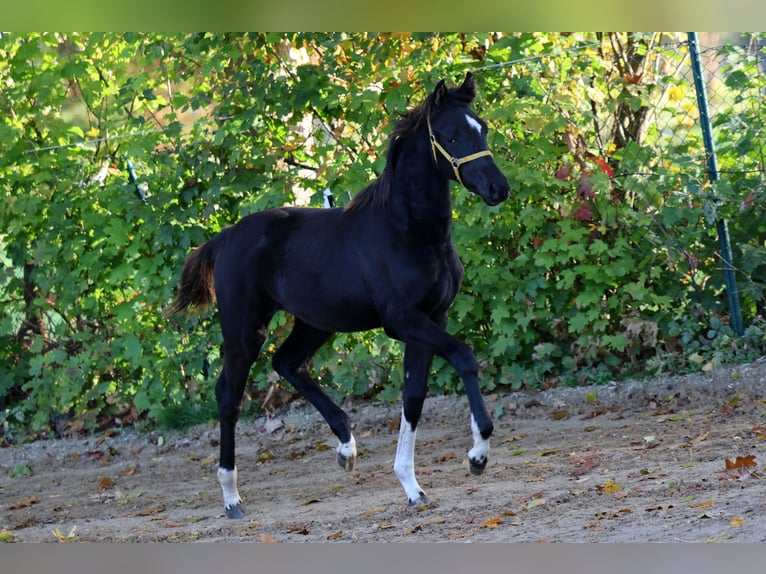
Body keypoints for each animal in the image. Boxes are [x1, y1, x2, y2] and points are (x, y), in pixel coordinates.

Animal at [167, 72, 510, 518]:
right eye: (451, 137)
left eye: (481, 128)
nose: (498, 188)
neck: (409, 232)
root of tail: (224, 237)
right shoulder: (402, 320)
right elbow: (464, 358)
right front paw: (477, 456)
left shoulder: (432, 317)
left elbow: (413, 396)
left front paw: (412, 486)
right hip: (245, 328)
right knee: (230, 395)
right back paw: (231, 497)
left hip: (316, 322)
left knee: (286, 363)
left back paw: (346, 446)